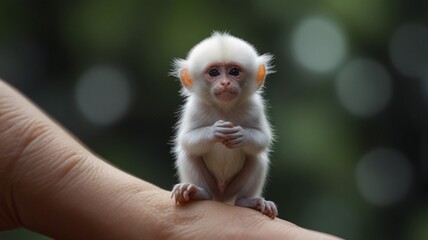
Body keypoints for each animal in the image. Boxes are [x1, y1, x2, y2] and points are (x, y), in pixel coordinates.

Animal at [171, 32, 278, 219]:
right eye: (213, 72)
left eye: (234, 71)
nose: (225, 83)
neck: (224, 108)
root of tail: (221, 196)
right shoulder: (194, 108)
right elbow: (186, 140)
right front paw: (215, 131)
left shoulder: (254, 106)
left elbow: (263, 139)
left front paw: (241, 135)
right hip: (212, 187)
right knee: (190, 155)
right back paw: (196, 191)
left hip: (232, 190)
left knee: (256, 157)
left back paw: (248, 201)